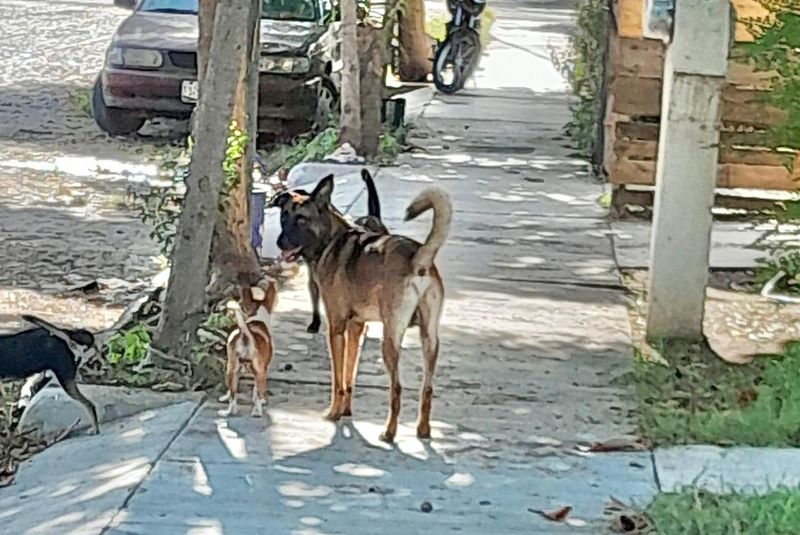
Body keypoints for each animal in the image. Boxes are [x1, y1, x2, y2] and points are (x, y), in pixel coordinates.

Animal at [222, 280, 278, 418]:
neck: (257, 318)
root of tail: (245, 334)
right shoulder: (263, 369)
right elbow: (255, 390)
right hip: (260, 373)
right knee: (258, 394)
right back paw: (257, 411)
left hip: (230, 370)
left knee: (233, 395)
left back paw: (230, 411)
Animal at [276, 173, 450, 444]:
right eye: (284, 216)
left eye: (301, 219)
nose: (279, 242)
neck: (330, 239)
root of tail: (419, 257)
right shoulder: (356, 327)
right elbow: (350, 373)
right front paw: (346, 410)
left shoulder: (336, 328)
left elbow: (338, 378)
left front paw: (334, 412)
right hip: (430, 340)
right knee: (427, 388)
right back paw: (423, 429)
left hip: (390, 338)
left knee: (396, 388)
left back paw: (389, 432)